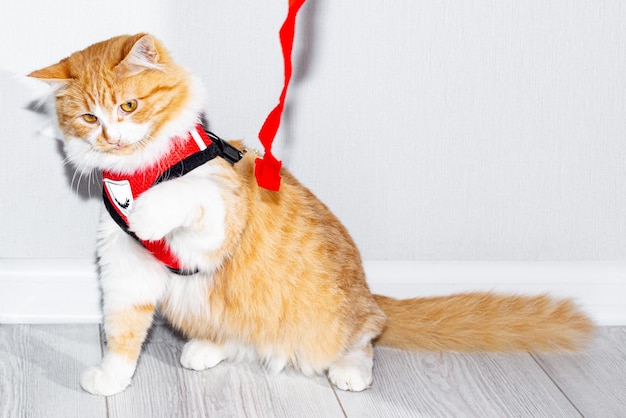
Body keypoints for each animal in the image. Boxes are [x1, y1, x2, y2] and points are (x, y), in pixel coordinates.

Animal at [29, 34, 592, 396]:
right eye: (89, 117)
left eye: (129, 106)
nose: (111, 137)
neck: (143, 172)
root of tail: (370, 293)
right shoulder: (126, 270)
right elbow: (123, 334)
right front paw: (111, 378)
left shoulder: (219, 216)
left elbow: (187, 201)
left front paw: (149, 211)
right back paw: (207, 348)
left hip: (336, 322)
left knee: (366, 339)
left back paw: (351, 371)